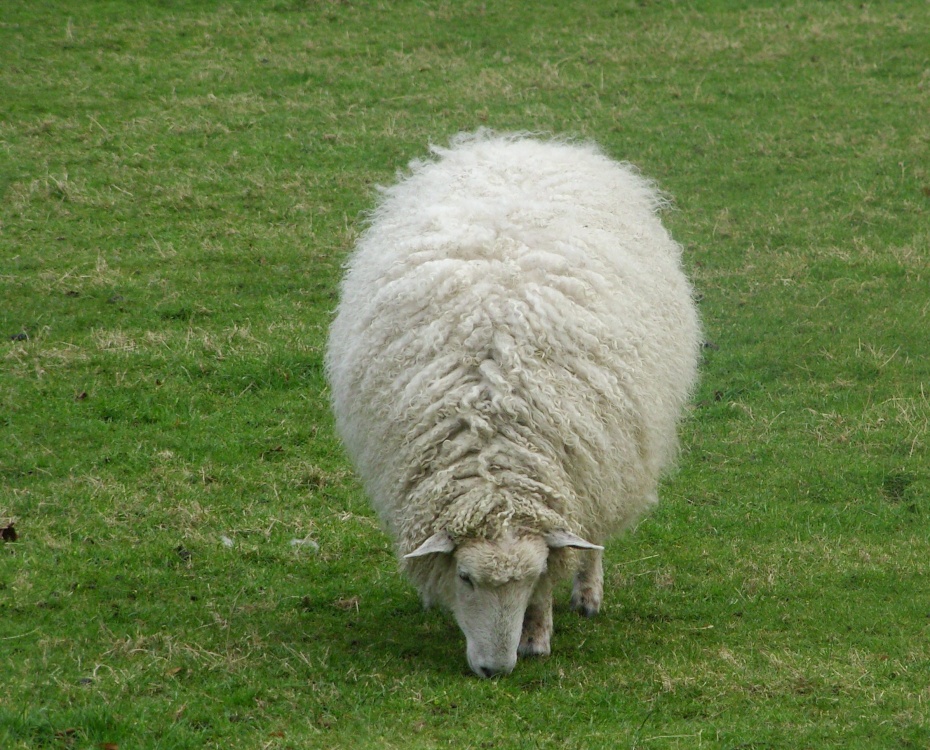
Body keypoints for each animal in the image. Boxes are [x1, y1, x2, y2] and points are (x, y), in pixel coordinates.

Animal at [325, 131, 701, 677]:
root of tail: (523, 146)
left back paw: (588, 594)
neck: (493, 431)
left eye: (530, 578)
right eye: (465, 578)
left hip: (609, 462)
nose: (494, 670)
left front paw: (538, 635)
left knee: (594, 538)